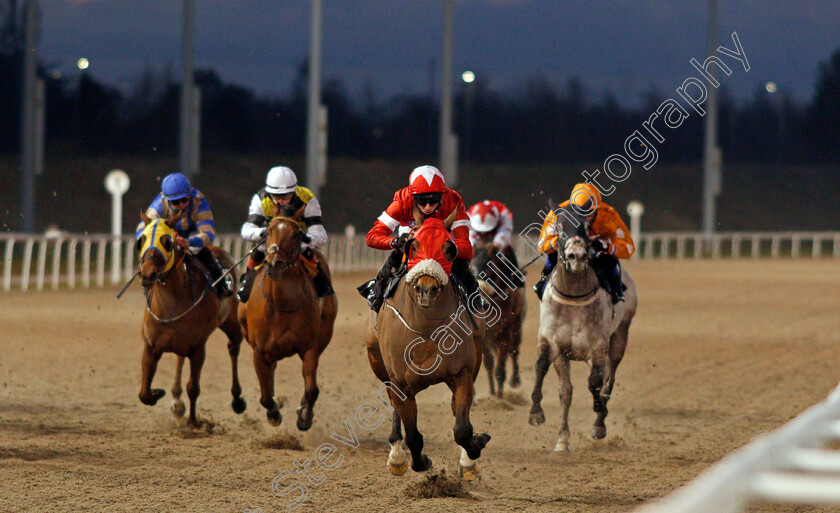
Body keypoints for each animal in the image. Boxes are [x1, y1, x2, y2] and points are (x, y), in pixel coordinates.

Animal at [136, 211, 244, 424]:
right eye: (141, 240)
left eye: (167, 241)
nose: (147, 274)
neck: (170, 307)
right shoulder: (151, 346)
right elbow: (144, 393)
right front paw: (158, 393)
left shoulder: (197, 348)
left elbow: (193, 388)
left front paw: (193, 422)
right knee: (180, 358)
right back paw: (176, 400)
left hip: (232, 323)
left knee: (234, 347)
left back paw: (237, 399)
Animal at [236, 210, 338, 430]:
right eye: (268, 231)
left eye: (296, 234)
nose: (274, 263)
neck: (280, 306)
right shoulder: (259, 352)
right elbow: (265, 396)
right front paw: (274, 413)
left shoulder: (309, 347)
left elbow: (311, 389)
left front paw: (304, 415)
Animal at [362, 206, 492, 478]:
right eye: (414, 245)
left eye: (449, 248)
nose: (426, 289)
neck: (426, 328)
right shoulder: (400, 383)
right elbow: (412, 435)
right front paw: (418, 461)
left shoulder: (462, 372)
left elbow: (462, 428)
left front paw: (473, 450)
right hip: (379, 364)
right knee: (393, 406)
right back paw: (396, 455)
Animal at [472, 242, 524, 398]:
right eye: (472, 268)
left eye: (490, 269)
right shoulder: (482, 336)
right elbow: (488, 364)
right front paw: (492, 392)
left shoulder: (504, 333)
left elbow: (500, 368)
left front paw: (500, 397)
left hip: (517, 326)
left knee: (514, 351)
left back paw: (515, 380)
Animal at [528, 206, 640, 450]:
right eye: (559, 227)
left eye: (588, 227)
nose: (577, 256)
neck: (573, 297)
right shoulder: (553, 344)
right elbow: (548, 375)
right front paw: (540, 418)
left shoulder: (597, 348)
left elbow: (595, 383)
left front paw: (599, 415)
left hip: (620, 336)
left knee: (609, 380)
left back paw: (600, 422)